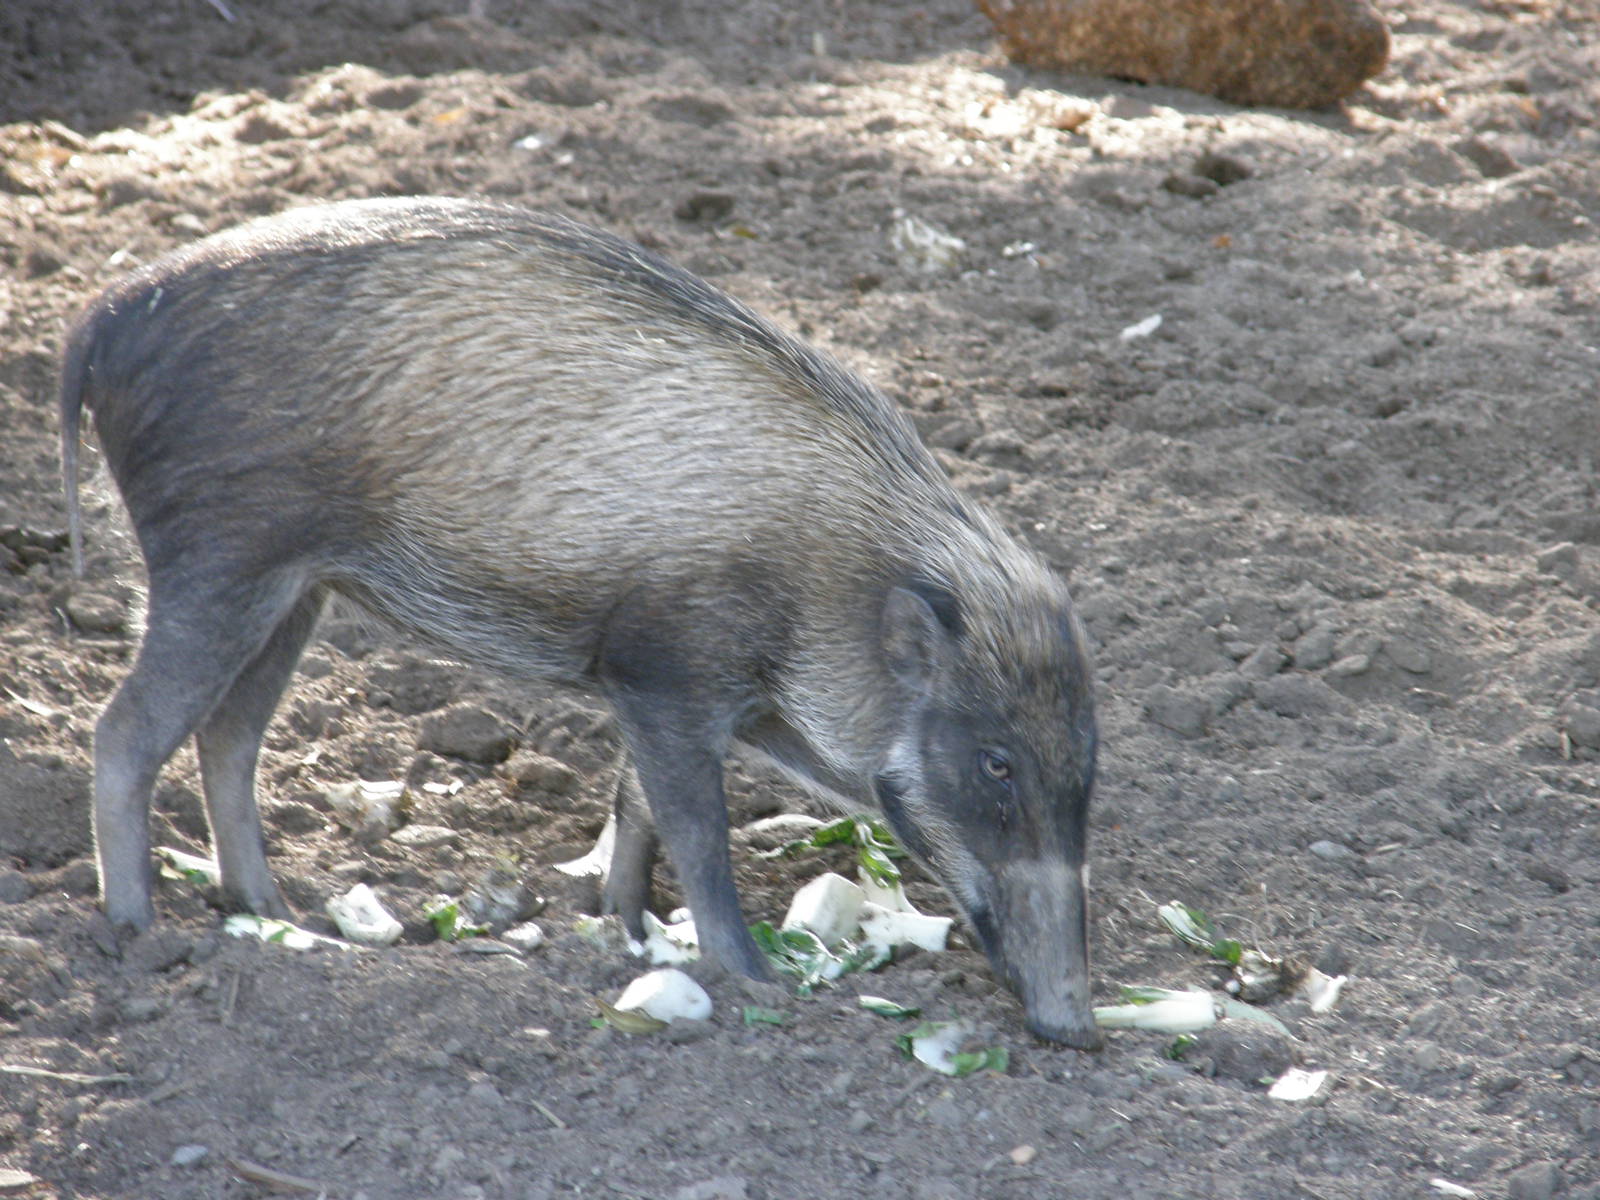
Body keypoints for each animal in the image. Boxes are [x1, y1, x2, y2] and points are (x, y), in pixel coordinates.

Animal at [60, 196, 1101, 1048]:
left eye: (1088, 767)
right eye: (997, 763)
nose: (1078, 1029)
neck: (832, 572)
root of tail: (101, 319)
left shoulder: (664, 690)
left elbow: (632, 808)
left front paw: (630, 930)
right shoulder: (667, 671)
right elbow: (695, 829)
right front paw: (754, 979)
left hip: (294, 592)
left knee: (228, 738)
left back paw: (276, 915)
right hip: (217, 559)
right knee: (124, 731)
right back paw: (137, 931)